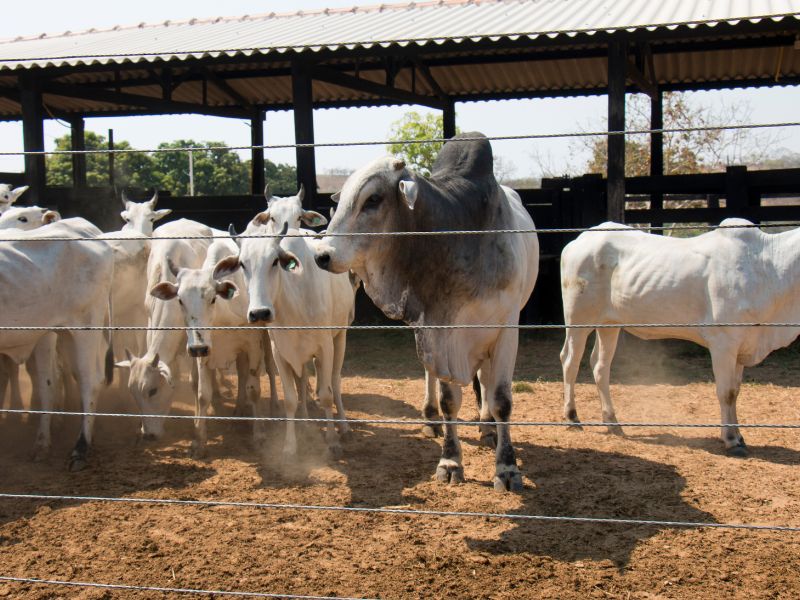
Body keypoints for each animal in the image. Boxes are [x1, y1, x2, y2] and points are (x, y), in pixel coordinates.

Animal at [152, 237, 270, 458]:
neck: (224, 315)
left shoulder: (252, 346)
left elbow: (253, 390)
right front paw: (199, 441)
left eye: (213, 298)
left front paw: (259, 436)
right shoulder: (203, 352)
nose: (196, 348)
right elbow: (203, 394)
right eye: (180, 300)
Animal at [217, 220, 358, 460]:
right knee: (301, 381)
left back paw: (344, 426)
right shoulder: (280, 351)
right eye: (243, 264)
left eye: (275, 261)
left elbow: (326, 394)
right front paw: (290, 446)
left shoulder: (325, 347)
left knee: (335, 380)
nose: (260, 313)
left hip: (340, 336)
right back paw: (305, 421)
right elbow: (291, 398)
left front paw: (332, 441)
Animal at [316, 132, 540, 492]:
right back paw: (431, 416)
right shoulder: (438, 328)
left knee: (485, 382)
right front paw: (450, 461)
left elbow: (502, 399)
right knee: (433, 375)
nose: (322, 254)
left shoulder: (506, 328)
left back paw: (487, 428)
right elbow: (450, 399)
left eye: (373, 198)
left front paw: (507, 467)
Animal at [564, 218, 800, 458]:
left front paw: (740, 436)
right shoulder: (723, 344)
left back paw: (612, 422)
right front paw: (731, 440)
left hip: (609, 324)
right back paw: (572, 417)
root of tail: (579, 240)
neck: (766, 267)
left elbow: (735, 392)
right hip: (577, 320)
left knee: (600, 366)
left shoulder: (742, 346)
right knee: (570, 361)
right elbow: (726, 393)